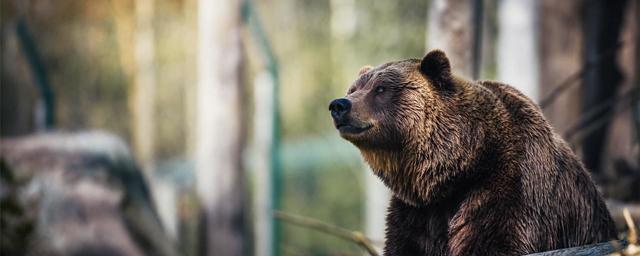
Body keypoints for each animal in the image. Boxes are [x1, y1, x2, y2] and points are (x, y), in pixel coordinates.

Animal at [330, 49, 616, 254]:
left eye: (381, 89)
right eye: (354, 89)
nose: (339, 105)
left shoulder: (509, 186)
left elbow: (492, 241)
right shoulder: (417, 212)